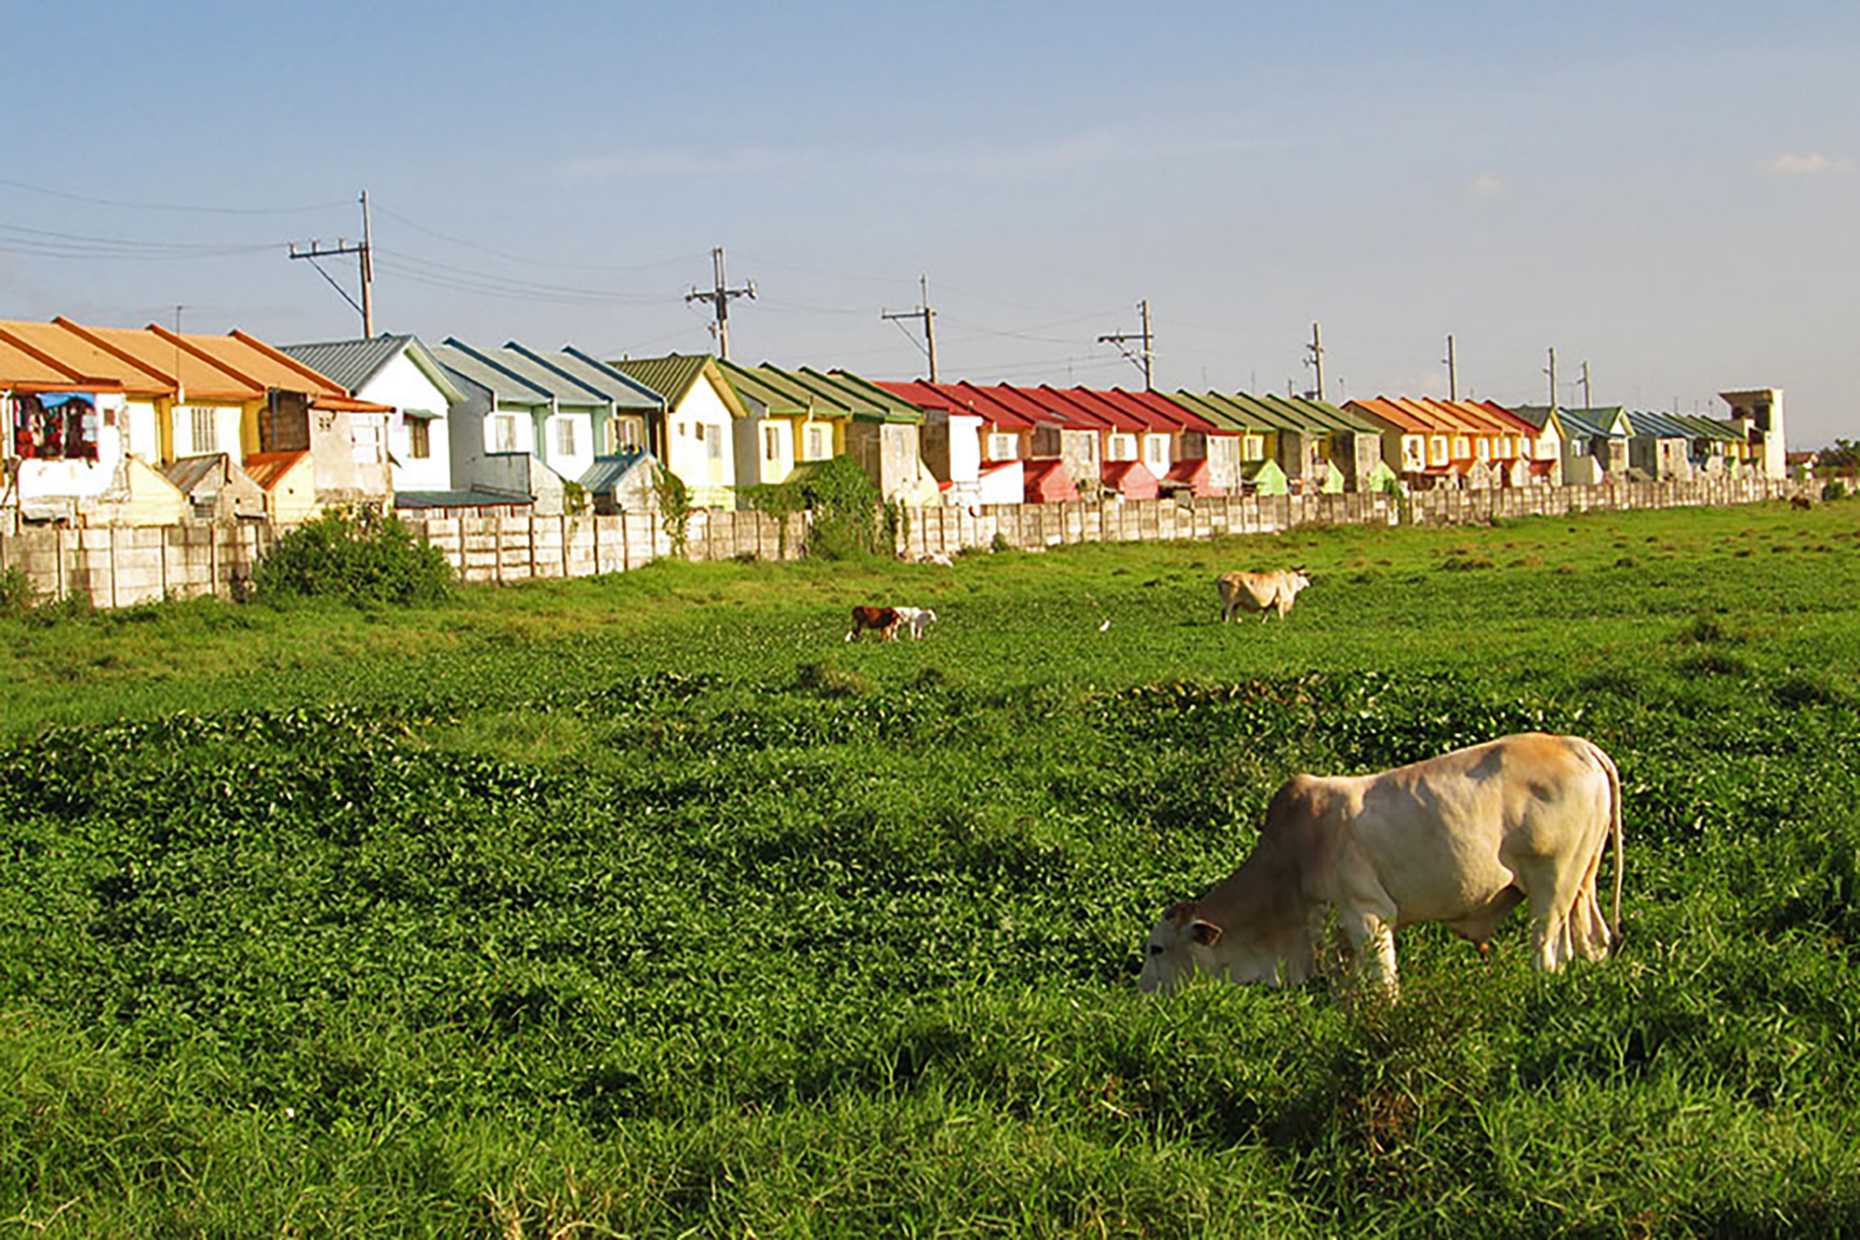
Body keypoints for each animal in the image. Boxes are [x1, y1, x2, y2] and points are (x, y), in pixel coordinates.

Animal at [1130, 732, 1614, 996]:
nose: (1143, 991)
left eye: (1157, 948)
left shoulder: (1370, 917)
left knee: (1546, 953)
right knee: (1589, 942)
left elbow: (1384, 987)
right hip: (1581, 882)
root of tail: (1573, 745)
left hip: (1551, 884)